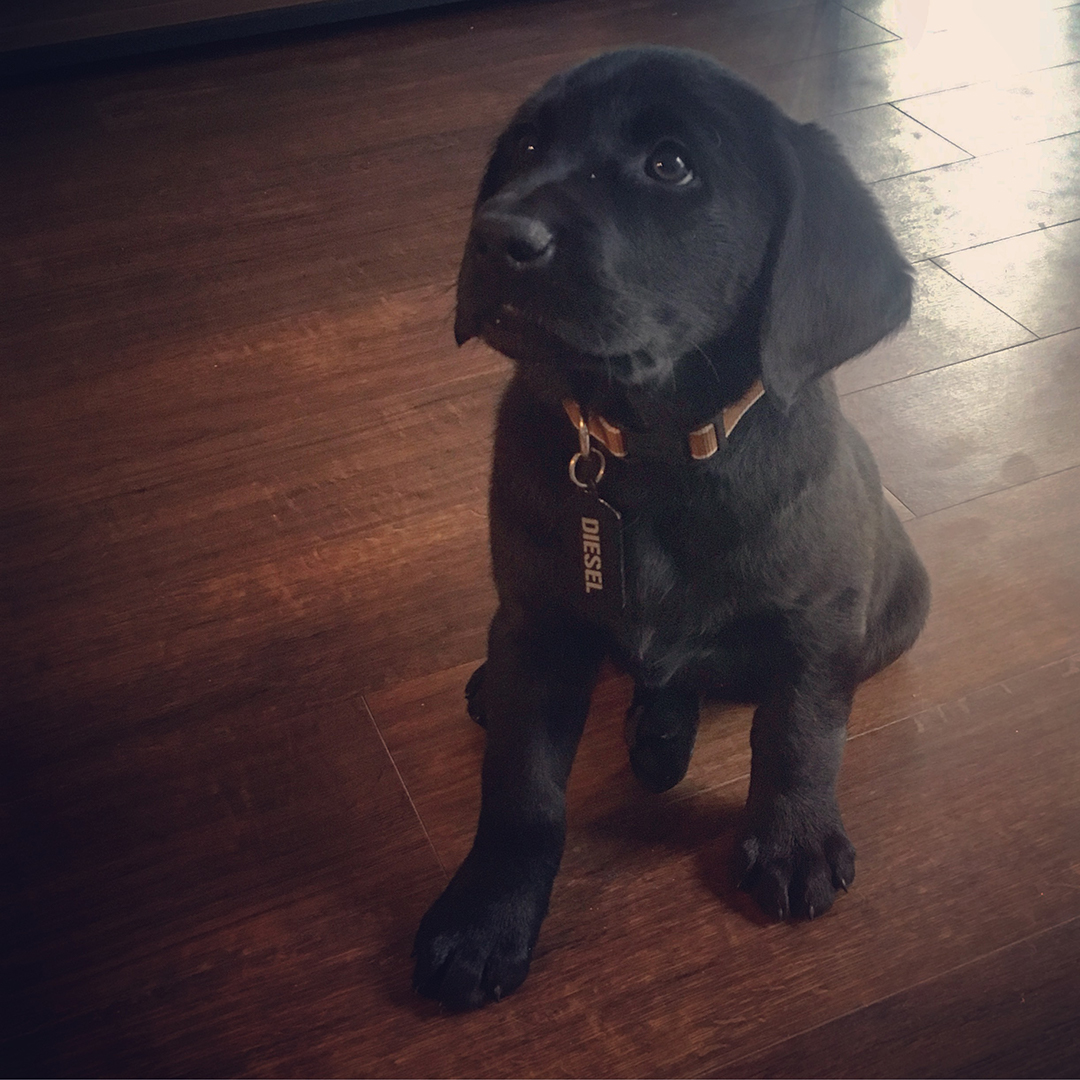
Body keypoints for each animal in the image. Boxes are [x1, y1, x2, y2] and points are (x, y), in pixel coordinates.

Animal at [410, 46, 928, 1010]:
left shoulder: (818, 615)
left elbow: (799, 730)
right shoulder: (537, 625)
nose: (494, 237)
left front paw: (794, 837)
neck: (644, 448)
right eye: (526, 145)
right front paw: (485, 914)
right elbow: (521, 788)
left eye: (671, 165)